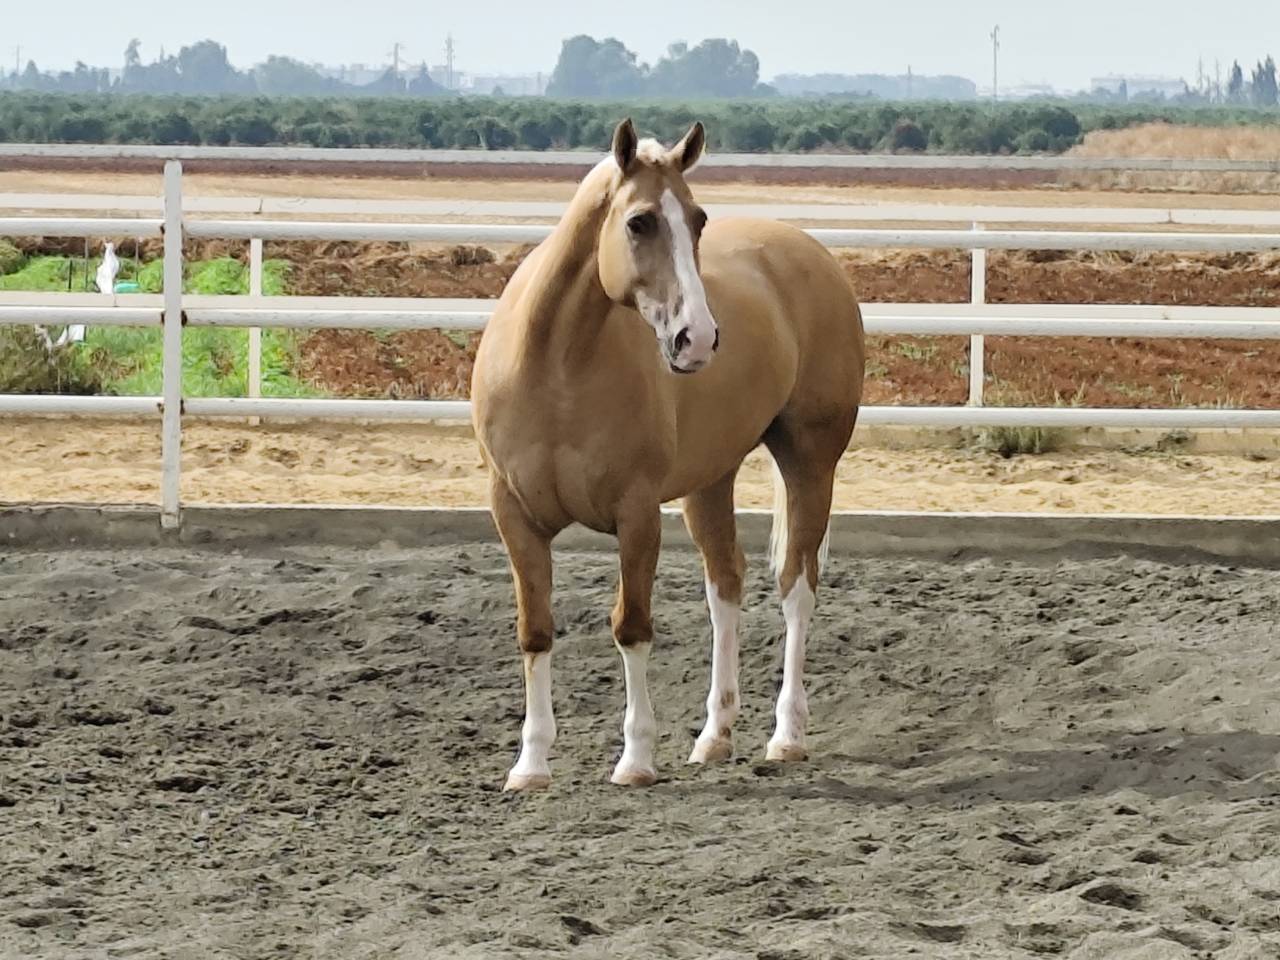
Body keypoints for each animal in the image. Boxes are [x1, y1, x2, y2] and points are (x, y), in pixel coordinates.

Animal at [471, 118, 865, 791]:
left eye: (699, 218)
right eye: (639, 222)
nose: (697, 339)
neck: (556, 371)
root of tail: (809, 253)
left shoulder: (637, 514)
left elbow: (631, 626)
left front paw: (635, 758)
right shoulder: (514, 516)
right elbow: (535, 630)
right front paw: (531, 764)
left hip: (810, 463)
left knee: (797, 585)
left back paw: (785, 736)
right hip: (711, 480)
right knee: (725, 586)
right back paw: (715, 736)